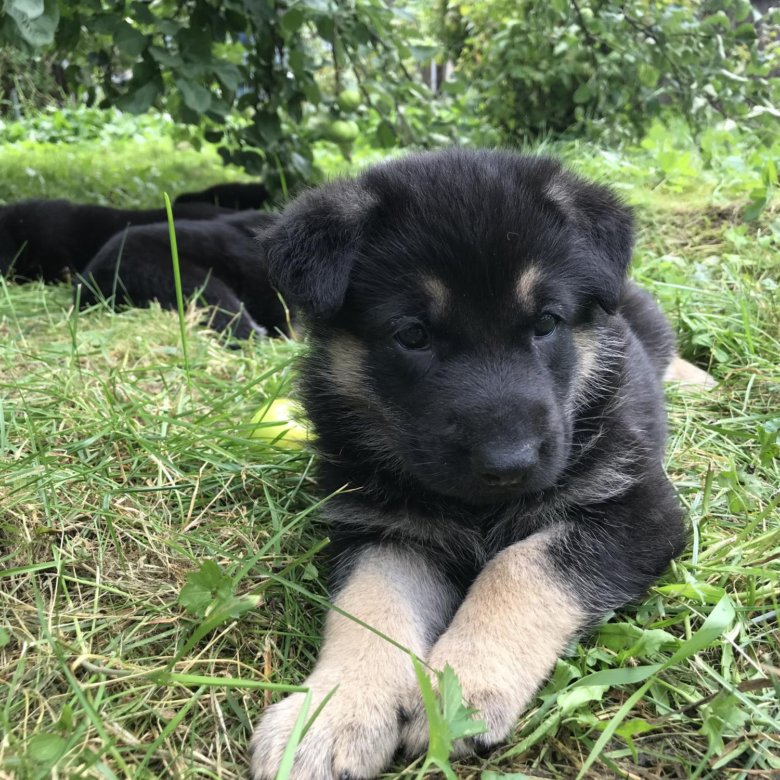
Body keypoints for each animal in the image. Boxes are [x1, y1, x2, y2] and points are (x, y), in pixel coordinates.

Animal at [247, 149, 692, 776]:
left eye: (547, 322)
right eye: (412, 334)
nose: (509, 464)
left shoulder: (639, 508)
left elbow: (521, 565)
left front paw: (460, 686)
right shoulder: (386, 529)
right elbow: (368, 604)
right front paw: (331, 712)